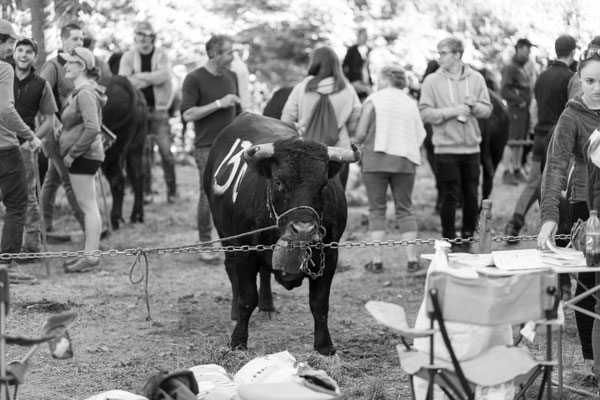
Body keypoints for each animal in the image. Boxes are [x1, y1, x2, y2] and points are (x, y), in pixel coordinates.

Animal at [204, 111, 358, 354]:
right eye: (278, 181)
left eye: (323, 185)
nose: (304, 229)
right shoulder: (245, 251)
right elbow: (247, 298)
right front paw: (237, 341)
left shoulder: (330, 254)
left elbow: (319, 304)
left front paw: (324, 347)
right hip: (224, 233)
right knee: (231, 269)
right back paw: (235, 312)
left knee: (265, 273)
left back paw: (267, 306)